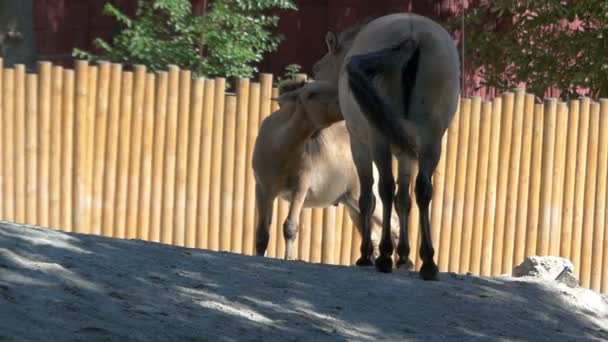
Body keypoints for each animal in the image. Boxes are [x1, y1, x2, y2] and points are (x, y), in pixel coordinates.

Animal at [314, 14, 460, 280]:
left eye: (317, 68)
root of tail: (412, 37)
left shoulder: (360, 145)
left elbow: (368, 198)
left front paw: (368, 255)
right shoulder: (406, 154)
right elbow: (404, 199)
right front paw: (404, 256)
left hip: (379, 141)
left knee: (384, 188)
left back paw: (383, 256)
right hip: (431, 142)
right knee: (423, 190)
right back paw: (428, 261)